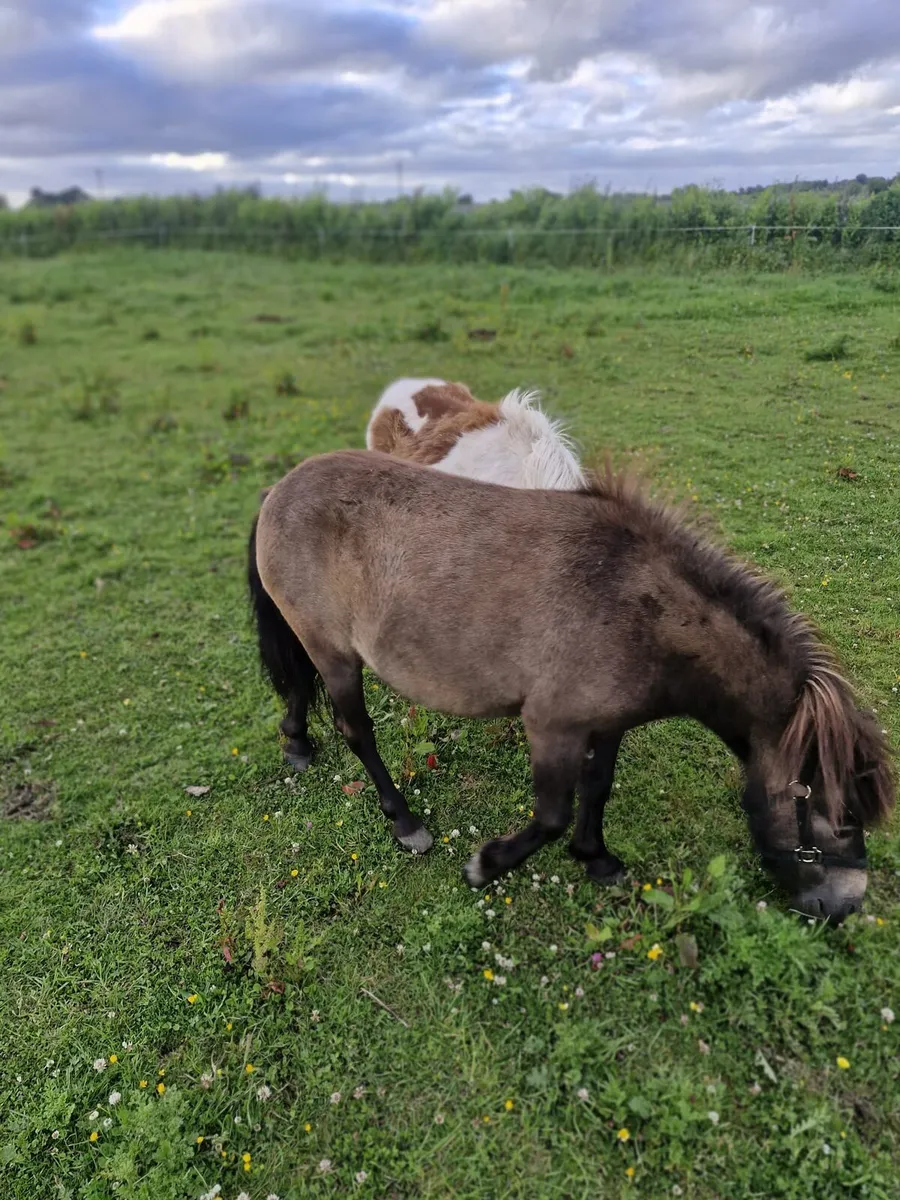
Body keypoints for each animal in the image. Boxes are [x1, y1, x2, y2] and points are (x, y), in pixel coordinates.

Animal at [248, 450, 894, 921]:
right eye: (842, 816)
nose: (843, 908)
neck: (640, 614)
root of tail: (279, 490)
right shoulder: (551, 725)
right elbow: (553, 814)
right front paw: (488, 864)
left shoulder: (605, 723)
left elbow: (597, 787)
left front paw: (596, 857)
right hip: (337, 655)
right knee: (356, 729)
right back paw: (404, 822)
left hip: (313, 641)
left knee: (299, 686)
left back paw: (297, 743)